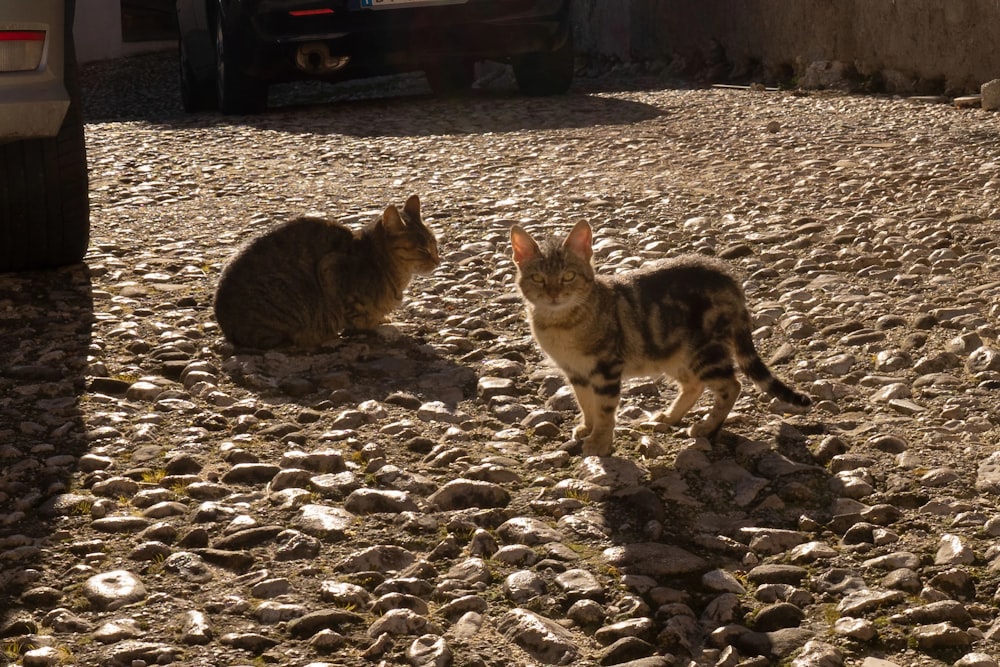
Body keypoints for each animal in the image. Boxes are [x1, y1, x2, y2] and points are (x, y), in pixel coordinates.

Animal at [215, 194, 438, 348]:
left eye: (434, 243)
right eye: (422, 249)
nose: (437, 260)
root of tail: (226, 328)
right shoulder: (330, 268)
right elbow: (360, 318)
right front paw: (379, 324)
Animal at [512, 222, 808, 456]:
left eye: (568, 276)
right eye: (537, 278)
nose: (553, 294)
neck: (560, 324)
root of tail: (729, 278)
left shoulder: (606, 368)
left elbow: (605, 409)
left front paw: (599, 442)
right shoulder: (576, 371)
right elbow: (585, 403)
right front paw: (587, 427)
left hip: (704, 351)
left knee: (731, 386)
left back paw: (707, 427)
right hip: (673, 354)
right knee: (694, 384)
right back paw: (671, 415)